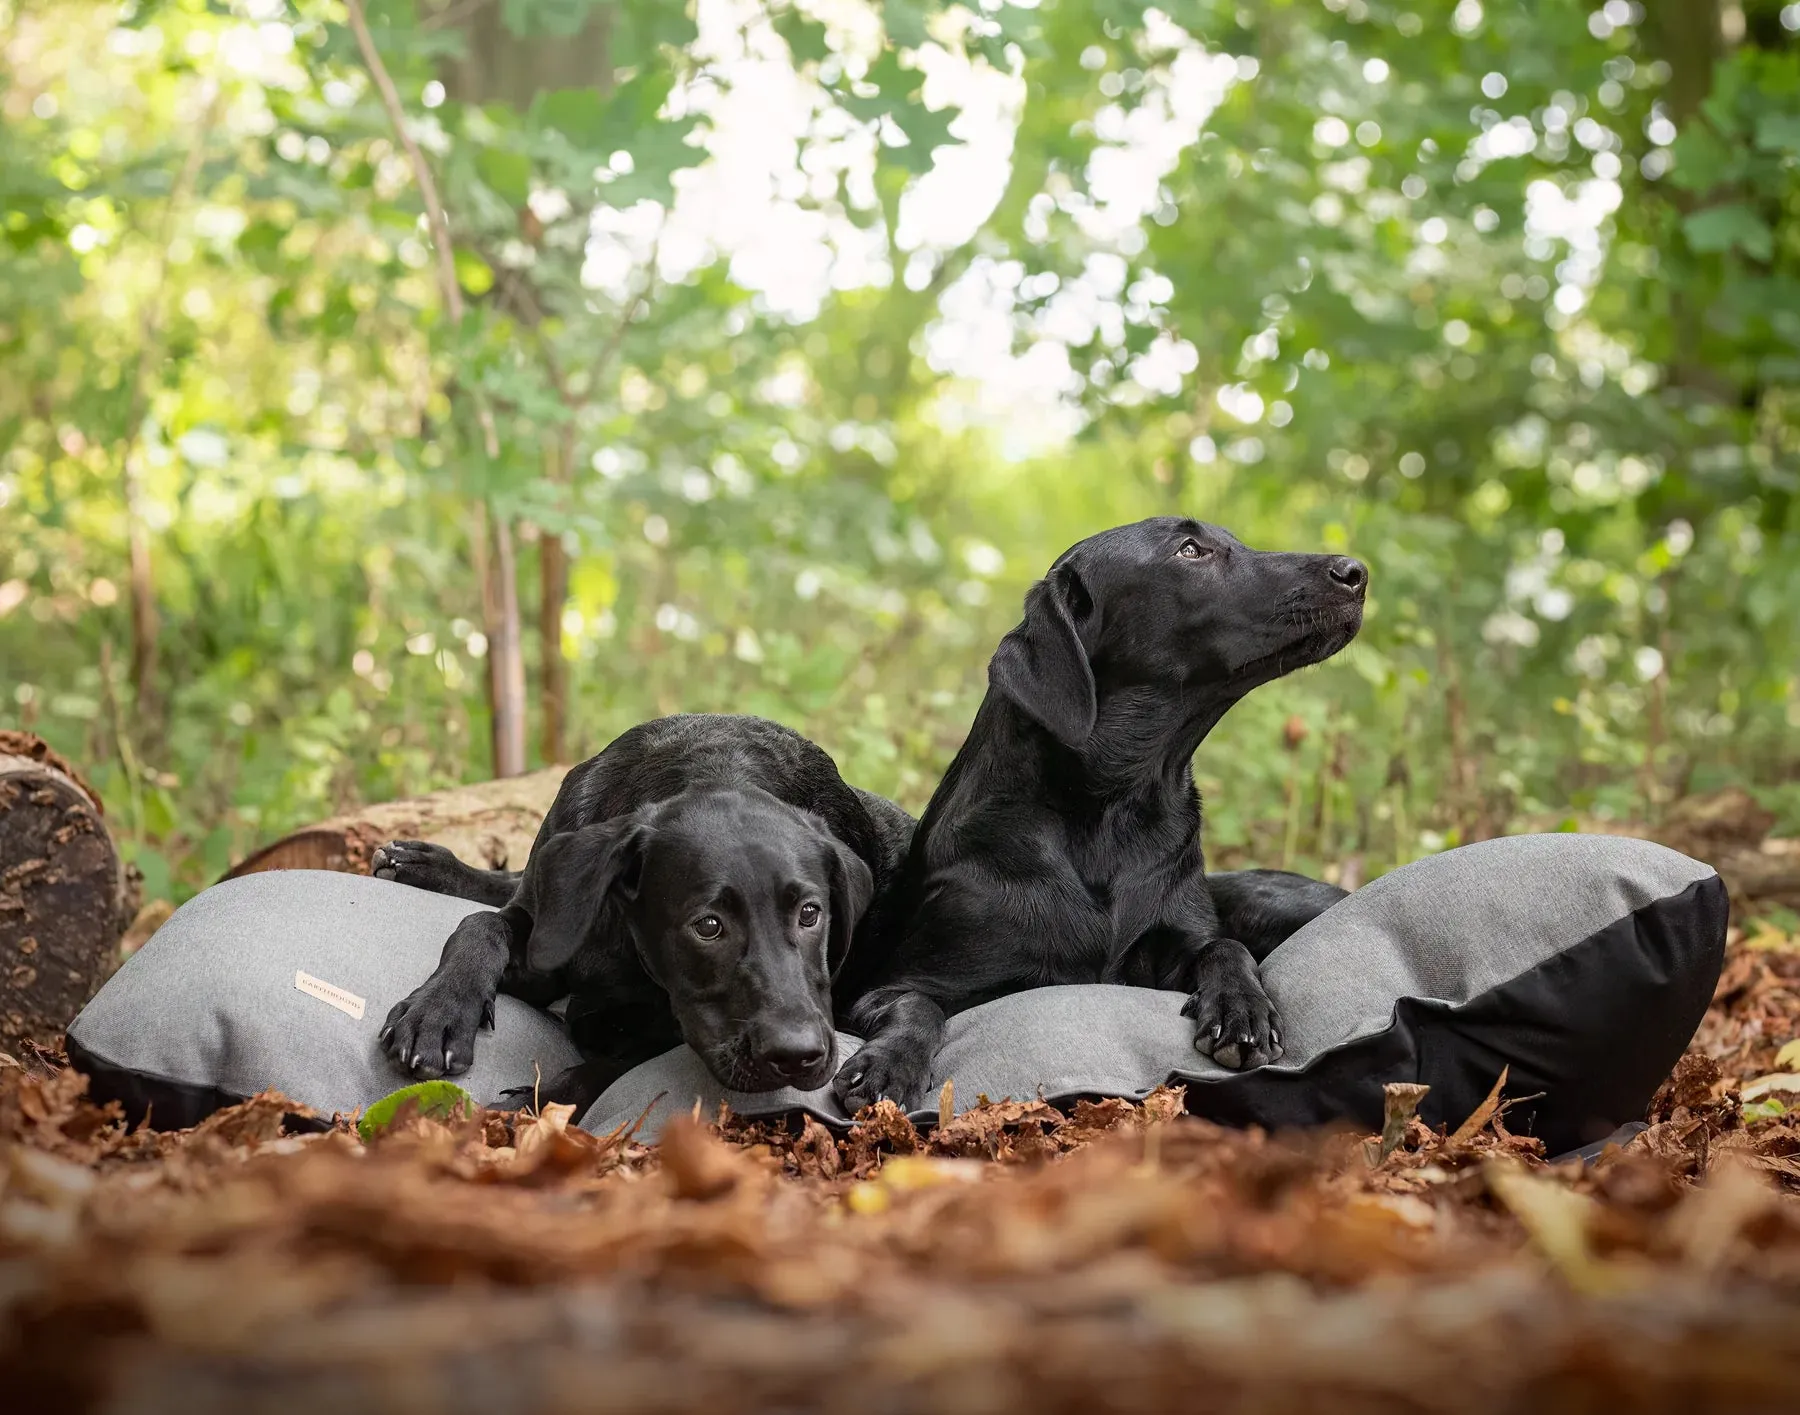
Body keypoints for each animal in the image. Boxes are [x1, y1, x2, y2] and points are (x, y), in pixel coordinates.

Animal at [376, 712, 914, 1108]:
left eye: (810, 914)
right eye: (708, 925)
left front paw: (535, 1101)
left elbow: (602, 1069)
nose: (797, 1055)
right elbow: (478, 926)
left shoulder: (664, 1029)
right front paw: (440, 1011)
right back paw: (422, 865)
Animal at [831, 511, 1360, 1108]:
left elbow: (1223, 946)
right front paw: (887, 1064)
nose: (1355, 571)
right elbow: (917, 1003)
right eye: (1190, 549)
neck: (1116, 811)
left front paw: (1243, 1010)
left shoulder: (1178, 943)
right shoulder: (901, 983)